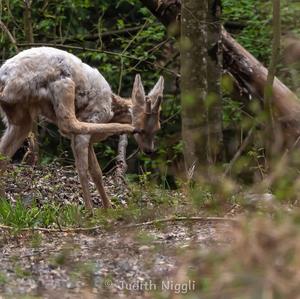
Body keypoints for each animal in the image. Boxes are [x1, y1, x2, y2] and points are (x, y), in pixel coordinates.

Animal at [0, 47, 164, 211]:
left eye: (158, 129)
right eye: (143, 130)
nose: (149, 150)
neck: (112, 109)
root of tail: (4, 80)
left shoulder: (90, 139)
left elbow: (96, 171)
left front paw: (108, 208)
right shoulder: (90, 122)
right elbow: (83, 170)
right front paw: (91, 211)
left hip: (20, 114)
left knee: (5, 152)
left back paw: (4, 203)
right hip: (63, 84)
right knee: (69, 123)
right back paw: (125, 127)